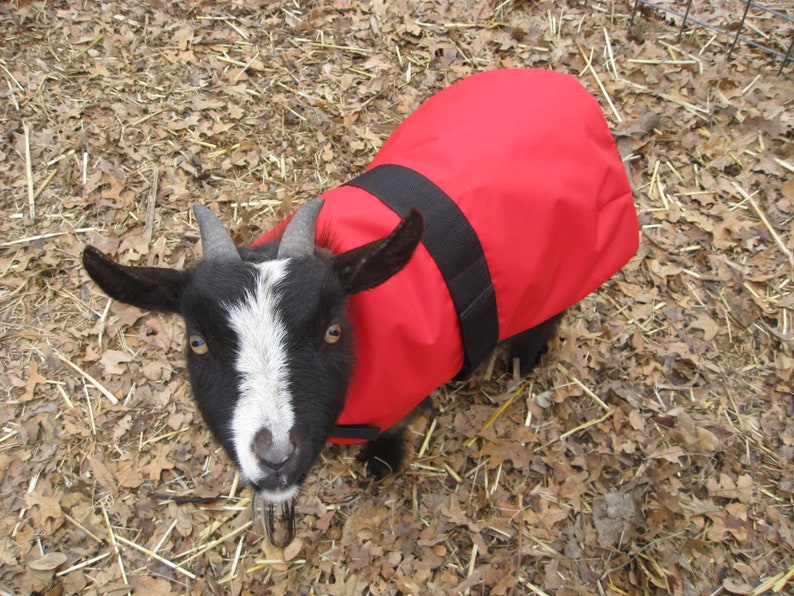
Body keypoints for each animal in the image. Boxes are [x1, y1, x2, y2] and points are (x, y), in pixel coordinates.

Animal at [82, 69, 639, 546]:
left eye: (332, 331)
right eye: (197, 342)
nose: (276, 458)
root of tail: (569, 90)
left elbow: (393, 431)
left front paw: (382, 464)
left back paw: (522, 359)